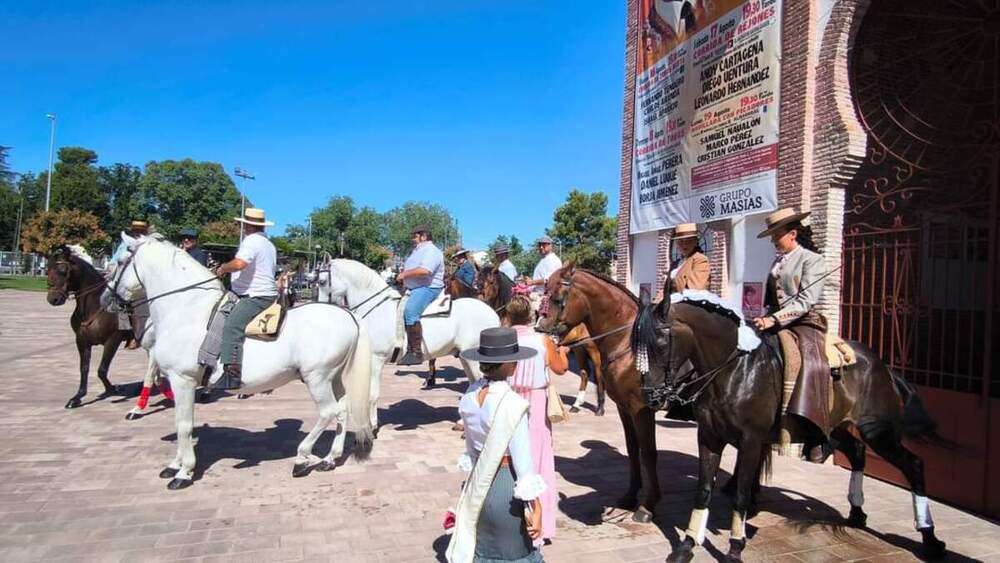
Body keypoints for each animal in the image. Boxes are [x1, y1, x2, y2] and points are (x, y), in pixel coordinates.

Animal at [46, 247, 129, 410]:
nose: (53, 299)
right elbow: (84, 368)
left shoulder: (113, 340)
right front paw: (77, 397)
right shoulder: (82, 342)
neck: (96, 306)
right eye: (48, 270)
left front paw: (113, 388)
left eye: (63, 270)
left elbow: (102, 370)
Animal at [108, 234, 376, 490]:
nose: (107, 298)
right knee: (342, 410)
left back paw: (301, 458)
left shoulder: (182, 380)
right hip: (334, 377)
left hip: (317, 378)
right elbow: (181, 422)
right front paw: (175, 464)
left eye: (120, 262)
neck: (186, 311)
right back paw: (330, 458)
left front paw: (184, 471)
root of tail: (348, 315)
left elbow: (183, 425)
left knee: (328, 412)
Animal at [312, 260, 500, 424]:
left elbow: (373, 394)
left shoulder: (377, 359)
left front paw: (373, 426)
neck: (378, 309)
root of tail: (491, 312)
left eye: (321, 281)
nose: (320, 306)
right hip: (465, 357)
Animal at [536, 262, 660, 524]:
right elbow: (632, 449)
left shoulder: (642, 409)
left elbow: (648, 453)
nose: (540, 327)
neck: (630, 343)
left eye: (558, 297)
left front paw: (647, 506)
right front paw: (629, 496)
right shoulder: (625, 408)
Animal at [632, 294, 952, 560]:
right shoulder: (709, 437)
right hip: (836, 427)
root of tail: (882, 366)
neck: (734, 370)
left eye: (660, 344)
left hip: (878, 430)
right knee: (858, 451)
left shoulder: (751, 441)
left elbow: (742, 494)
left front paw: (735, 547)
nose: (650, 396)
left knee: (913, 465)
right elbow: (703, 491)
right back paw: (857, 511)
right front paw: (686, 546)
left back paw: (930, 537)